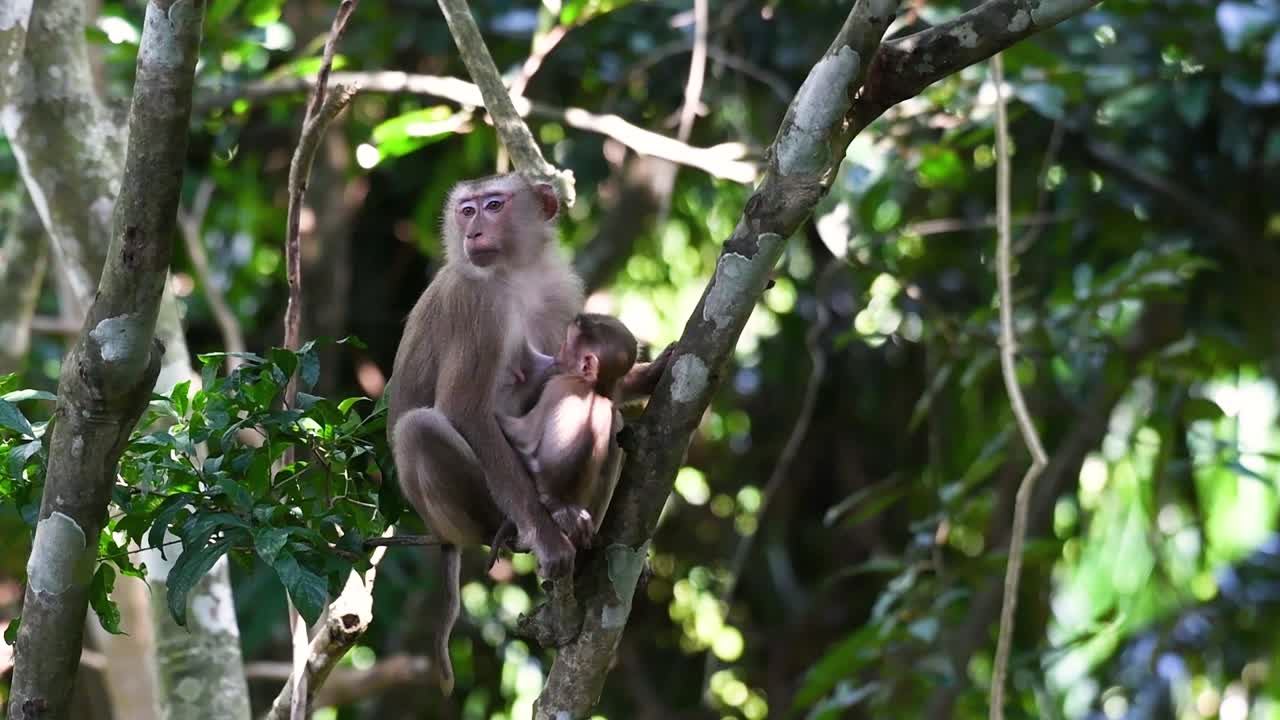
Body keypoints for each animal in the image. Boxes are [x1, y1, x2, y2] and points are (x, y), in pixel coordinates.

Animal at [486, 313, 639, 566]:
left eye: (567, 345)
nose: (558, 353)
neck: (590, 387)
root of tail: (558, 498)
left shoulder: (557, 387)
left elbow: (523, 435)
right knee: (616, 422)